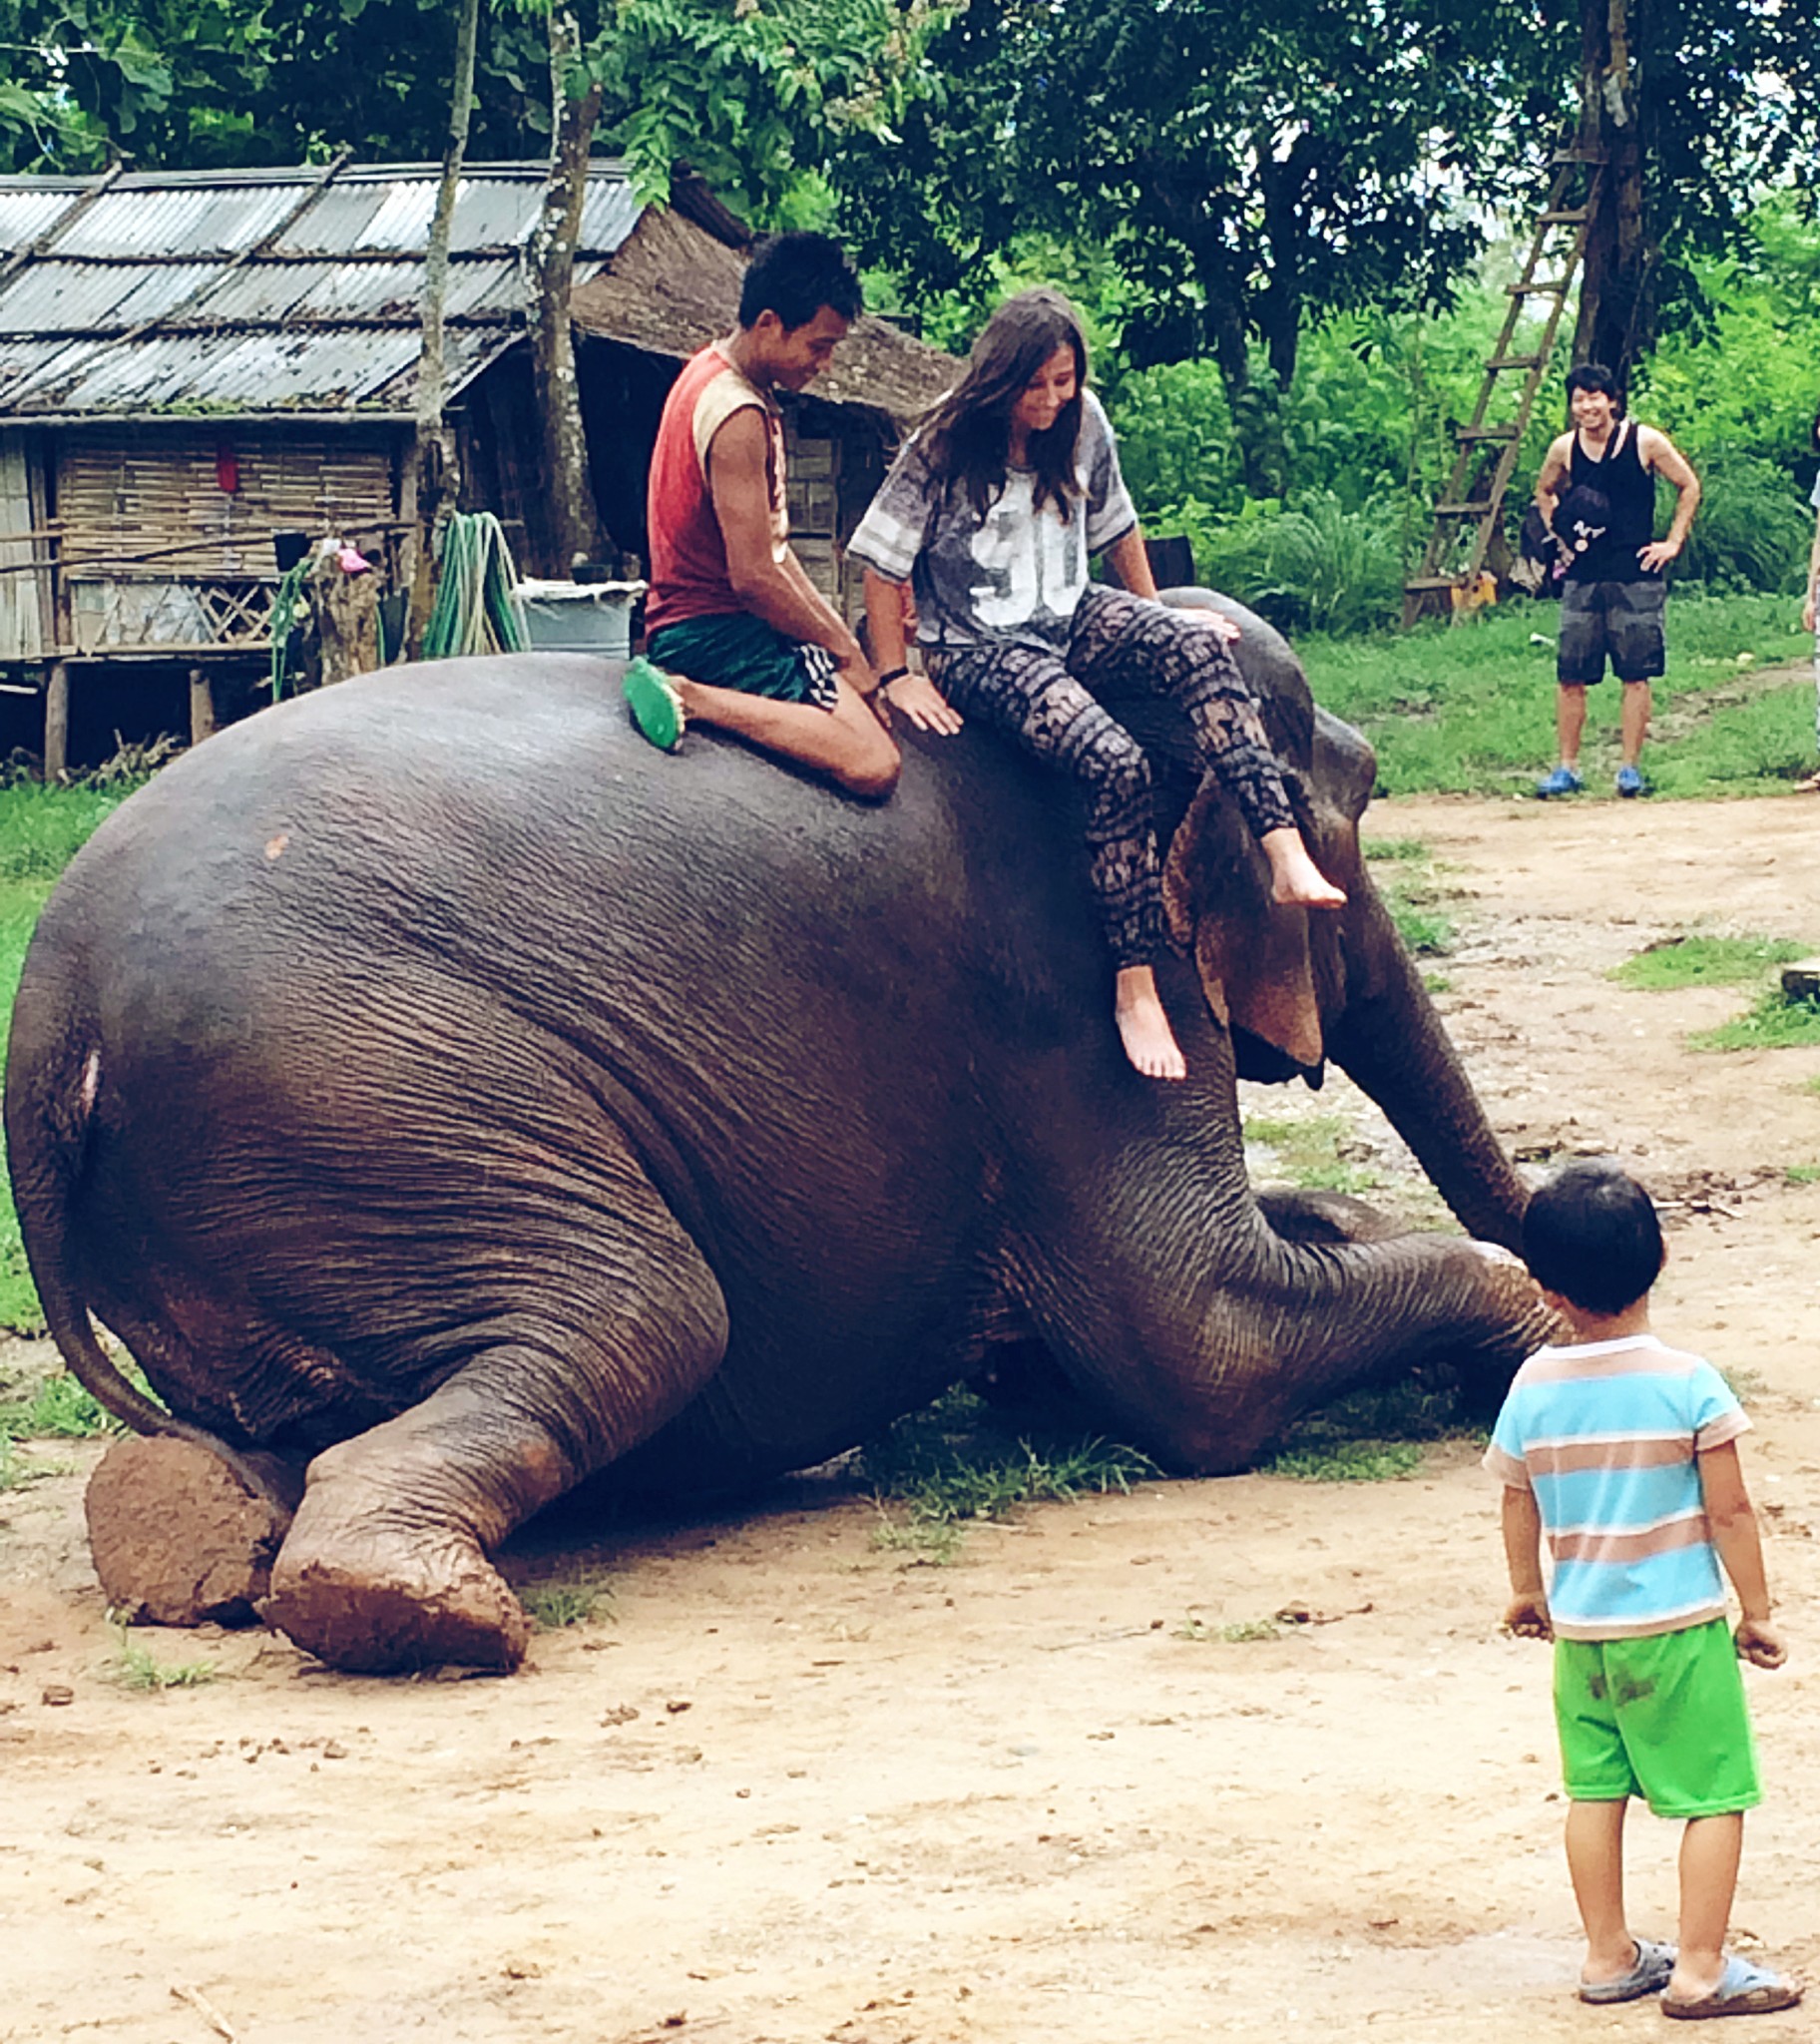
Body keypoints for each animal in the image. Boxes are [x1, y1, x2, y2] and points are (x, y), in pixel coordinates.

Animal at [3, 597, 1552, 1676]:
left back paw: (193, 1529)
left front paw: (1344, 1229)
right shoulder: (1078, 990)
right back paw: (416, 1611)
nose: (1587, 1214)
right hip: (366, 1089)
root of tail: (48, 1030)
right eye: (1366, 799)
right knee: (647, 1312)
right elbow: (1203, 1350)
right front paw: (1521, 1323)